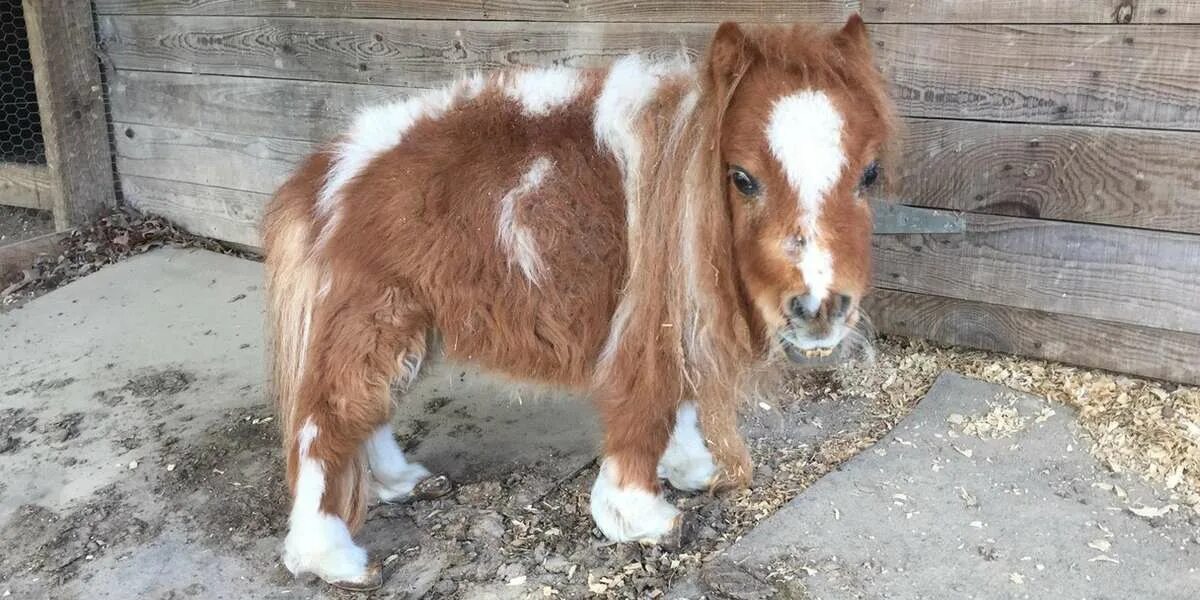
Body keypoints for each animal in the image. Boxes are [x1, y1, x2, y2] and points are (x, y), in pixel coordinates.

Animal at [267, 15, 897, 590]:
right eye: (742, 178)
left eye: (870, 173)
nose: (819, 310)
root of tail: (326, 174)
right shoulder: (648, 315)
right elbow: (647, 403)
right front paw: (644, 517)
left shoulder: (676, 313)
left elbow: (679, 399)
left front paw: (690, 469)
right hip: (374, 316)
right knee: (325, 423)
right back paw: (334, 560)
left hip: (410, 325)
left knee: (369, 409)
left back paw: (404, 483)